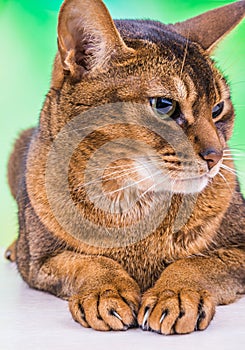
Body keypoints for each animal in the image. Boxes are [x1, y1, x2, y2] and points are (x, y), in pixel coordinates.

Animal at [5, 0, 245, 334]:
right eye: (164, 105)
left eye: (218, 109)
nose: (216, 156)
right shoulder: (39, 261)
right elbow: (89, 262)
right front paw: (106, 291)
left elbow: (199, 262)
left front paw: (176, 294)